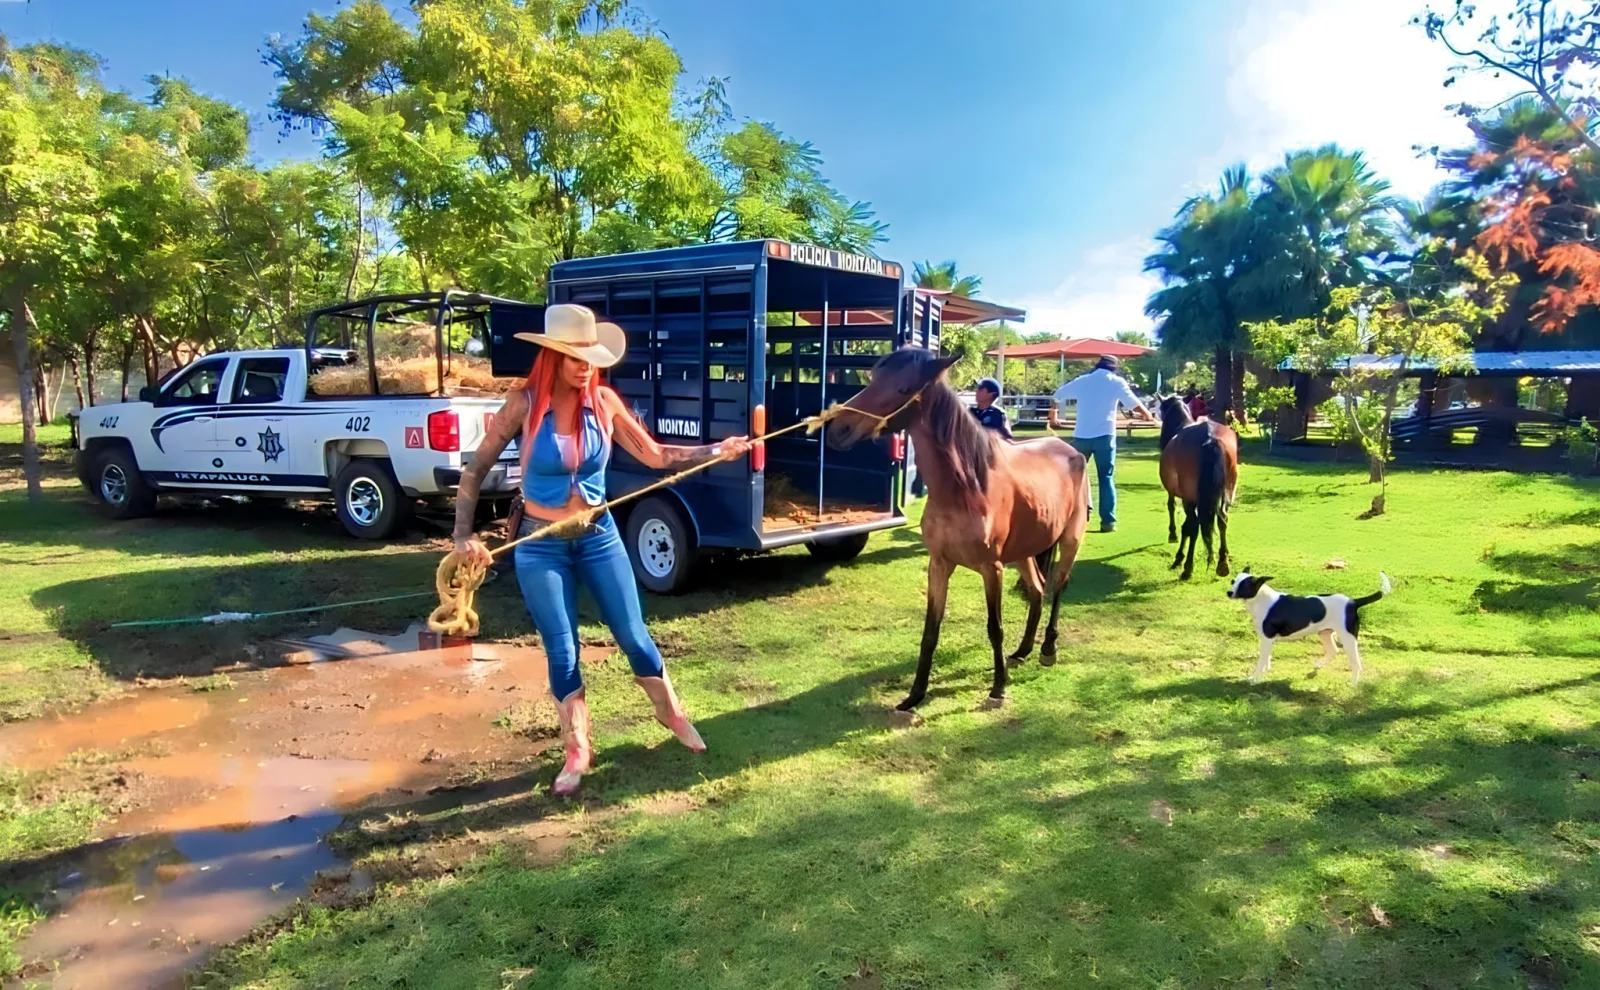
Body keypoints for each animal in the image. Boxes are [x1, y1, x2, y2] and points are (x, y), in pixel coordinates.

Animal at [832, 348, 1094, 713]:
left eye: (903, 389)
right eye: (872, 378)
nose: (838, 428)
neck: (966, 488)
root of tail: (1070, 450)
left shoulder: (991, 568)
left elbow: (994, 628)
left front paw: (998, 688)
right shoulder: (939, 564)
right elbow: (930, 631)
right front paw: (914, 695)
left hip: (1070, 539)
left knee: (1058, 586)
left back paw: (1047, 651)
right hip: (1025, 551)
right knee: (1037, 589)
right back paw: (1023, 650)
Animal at [1158, 395, 1241, 582]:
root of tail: (1210, 438)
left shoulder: (1178, 494)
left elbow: (1174, 510)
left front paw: (1176, 545)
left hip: (1190, 497)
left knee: (1194, 525)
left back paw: (1187, 567)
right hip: (1226, 492)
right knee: (1222, 519)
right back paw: (1222, 563)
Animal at [1222, 572, 1388, 681]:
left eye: (1243, 585)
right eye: (1233, 581)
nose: (1229, 592)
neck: (1261, 599)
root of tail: (1353, 602)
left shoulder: (1267, 639)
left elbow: (1261, 660)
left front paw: (1255, 678)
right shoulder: (1266, 640)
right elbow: (1266, 658)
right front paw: (1265, 671)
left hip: (1348, 639)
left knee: (1356, 663)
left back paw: (1353, 684)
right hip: (1325, 633)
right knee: (1333, 650)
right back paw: (1318, 665)